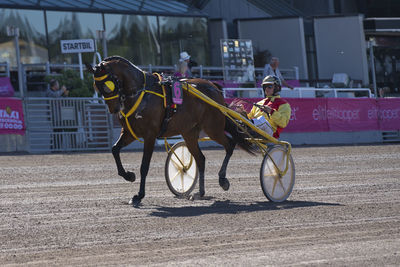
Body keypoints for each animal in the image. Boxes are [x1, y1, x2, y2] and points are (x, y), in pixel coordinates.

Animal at [85, 56, 253, 206]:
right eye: (95, 86)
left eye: (108, 85)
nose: (114, 109)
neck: (142, 93)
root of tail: (213, 86)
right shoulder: (129, 133)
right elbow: (115, 149)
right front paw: (129, 175)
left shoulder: (150, 135)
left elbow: (144, 166)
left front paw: (139, 196)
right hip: (189, 133)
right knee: (201, 159)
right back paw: (200, 193)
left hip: (213, 128)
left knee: (229, 145)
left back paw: (222, 180)